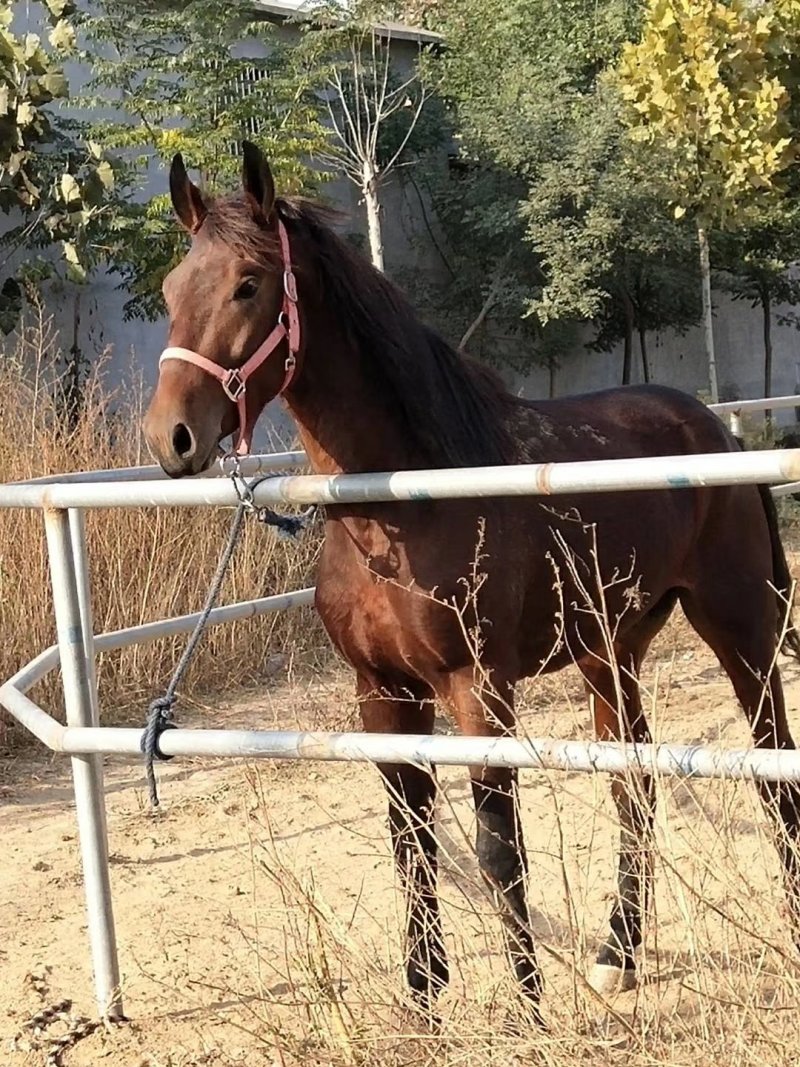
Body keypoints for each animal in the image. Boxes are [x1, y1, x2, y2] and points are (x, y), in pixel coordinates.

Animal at [143, 141, 800, 1022]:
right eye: (173, 289)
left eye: (249, 283)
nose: (171, 437)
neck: (401, 503)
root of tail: (719, 433)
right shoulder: (381, 692)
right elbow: (410, 839)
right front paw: (424, 1000)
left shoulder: (477, 690)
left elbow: (496, 848)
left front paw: (527, 1009)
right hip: (611, 650)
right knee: (634, 783)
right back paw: (616, 954)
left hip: (741, 630)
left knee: (773, 772)